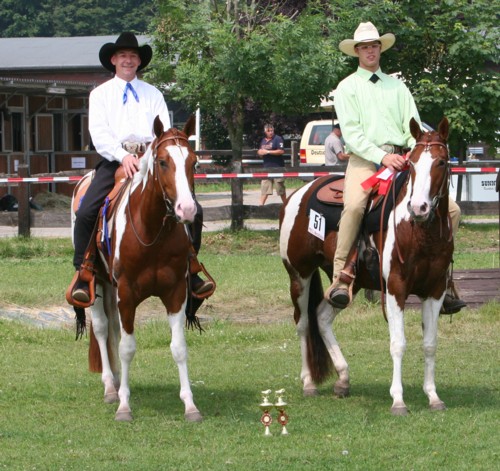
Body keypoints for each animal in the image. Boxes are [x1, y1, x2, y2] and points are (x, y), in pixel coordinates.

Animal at [71, 116, 203, 422]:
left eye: (193, 162)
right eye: (163, 162)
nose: (187, 209)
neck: (152, 230)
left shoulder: (176, 292)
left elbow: (179, 348)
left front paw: (190, 405)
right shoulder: (127, 294)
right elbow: (127, 348)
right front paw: (123, 406)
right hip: (97, 283)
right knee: (102, 329)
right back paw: (111, 387)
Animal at [280, 119, 456, 416]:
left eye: (441, 162)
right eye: (411, 164)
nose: (418, 207)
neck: (420, 232)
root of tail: (298, 195)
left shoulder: (435, 289)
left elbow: (430, 344)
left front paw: (433, 397)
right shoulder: (396, 287)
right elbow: (398, 344)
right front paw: (398, 401)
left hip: (347, 284)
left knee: (322, 316)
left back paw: (343, 379)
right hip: (299, 275)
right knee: (303, 323)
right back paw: (309, 383)